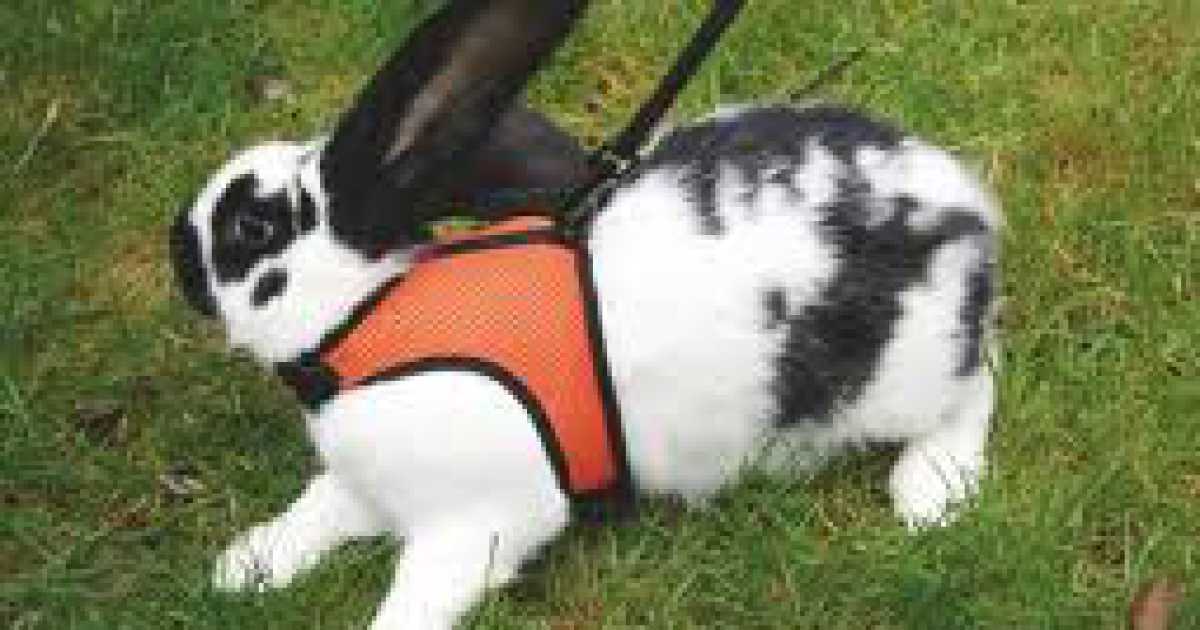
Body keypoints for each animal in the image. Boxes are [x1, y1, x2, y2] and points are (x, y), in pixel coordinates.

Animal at [168, 0, 1000, 628]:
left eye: (252, 228)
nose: (176, 244)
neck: (369, 315)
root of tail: (957, 199)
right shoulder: (369, 487)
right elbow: (316, 509)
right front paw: (241, 568)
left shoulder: (475, 520)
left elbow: (414, 600)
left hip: (900, 376)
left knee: (978, 382)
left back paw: (930, 490)